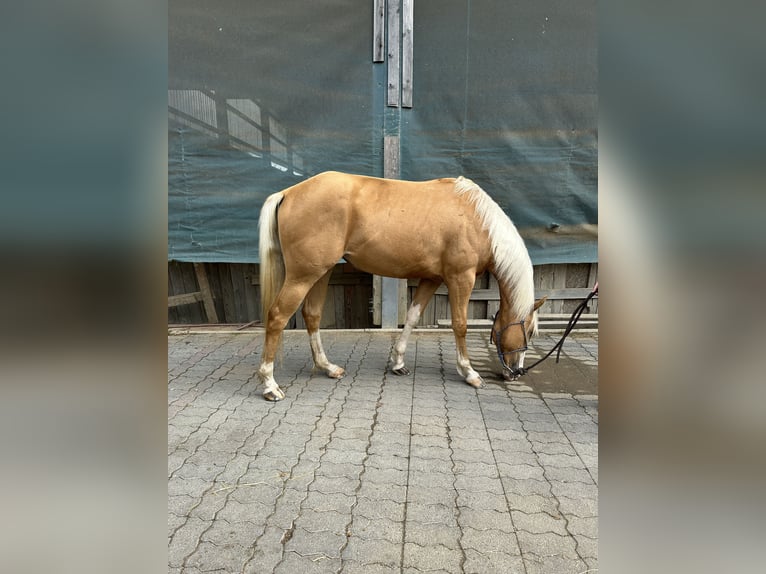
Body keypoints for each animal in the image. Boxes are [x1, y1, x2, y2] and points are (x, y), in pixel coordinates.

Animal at [258, 173, 544, 402]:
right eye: (529, 331)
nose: (516, 372)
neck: (477, 219)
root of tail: (287, 193)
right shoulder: (460, 278)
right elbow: (460, 324)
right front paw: (469, 372)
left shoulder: (432, 278)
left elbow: (413, 317)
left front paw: (398, 362)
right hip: (302, 276)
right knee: (277, 317)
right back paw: (270, 385)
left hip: (321, 272)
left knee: (312, 315)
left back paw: (328, 367)